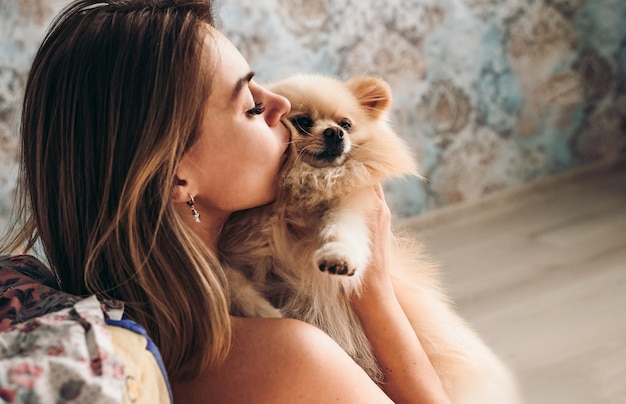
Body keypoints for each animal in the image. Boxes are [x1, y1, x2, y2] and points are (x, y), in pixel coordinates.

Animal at [217, 74, 520, 402]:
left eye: (346, 124)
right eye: (303, 122)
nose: (335, 133)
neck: (302, 187)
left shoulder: (352, 205)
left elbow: (341, 228)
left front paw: (337, 257)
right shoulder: (242, 246)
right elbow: (229, 279)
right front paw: (263, 311)